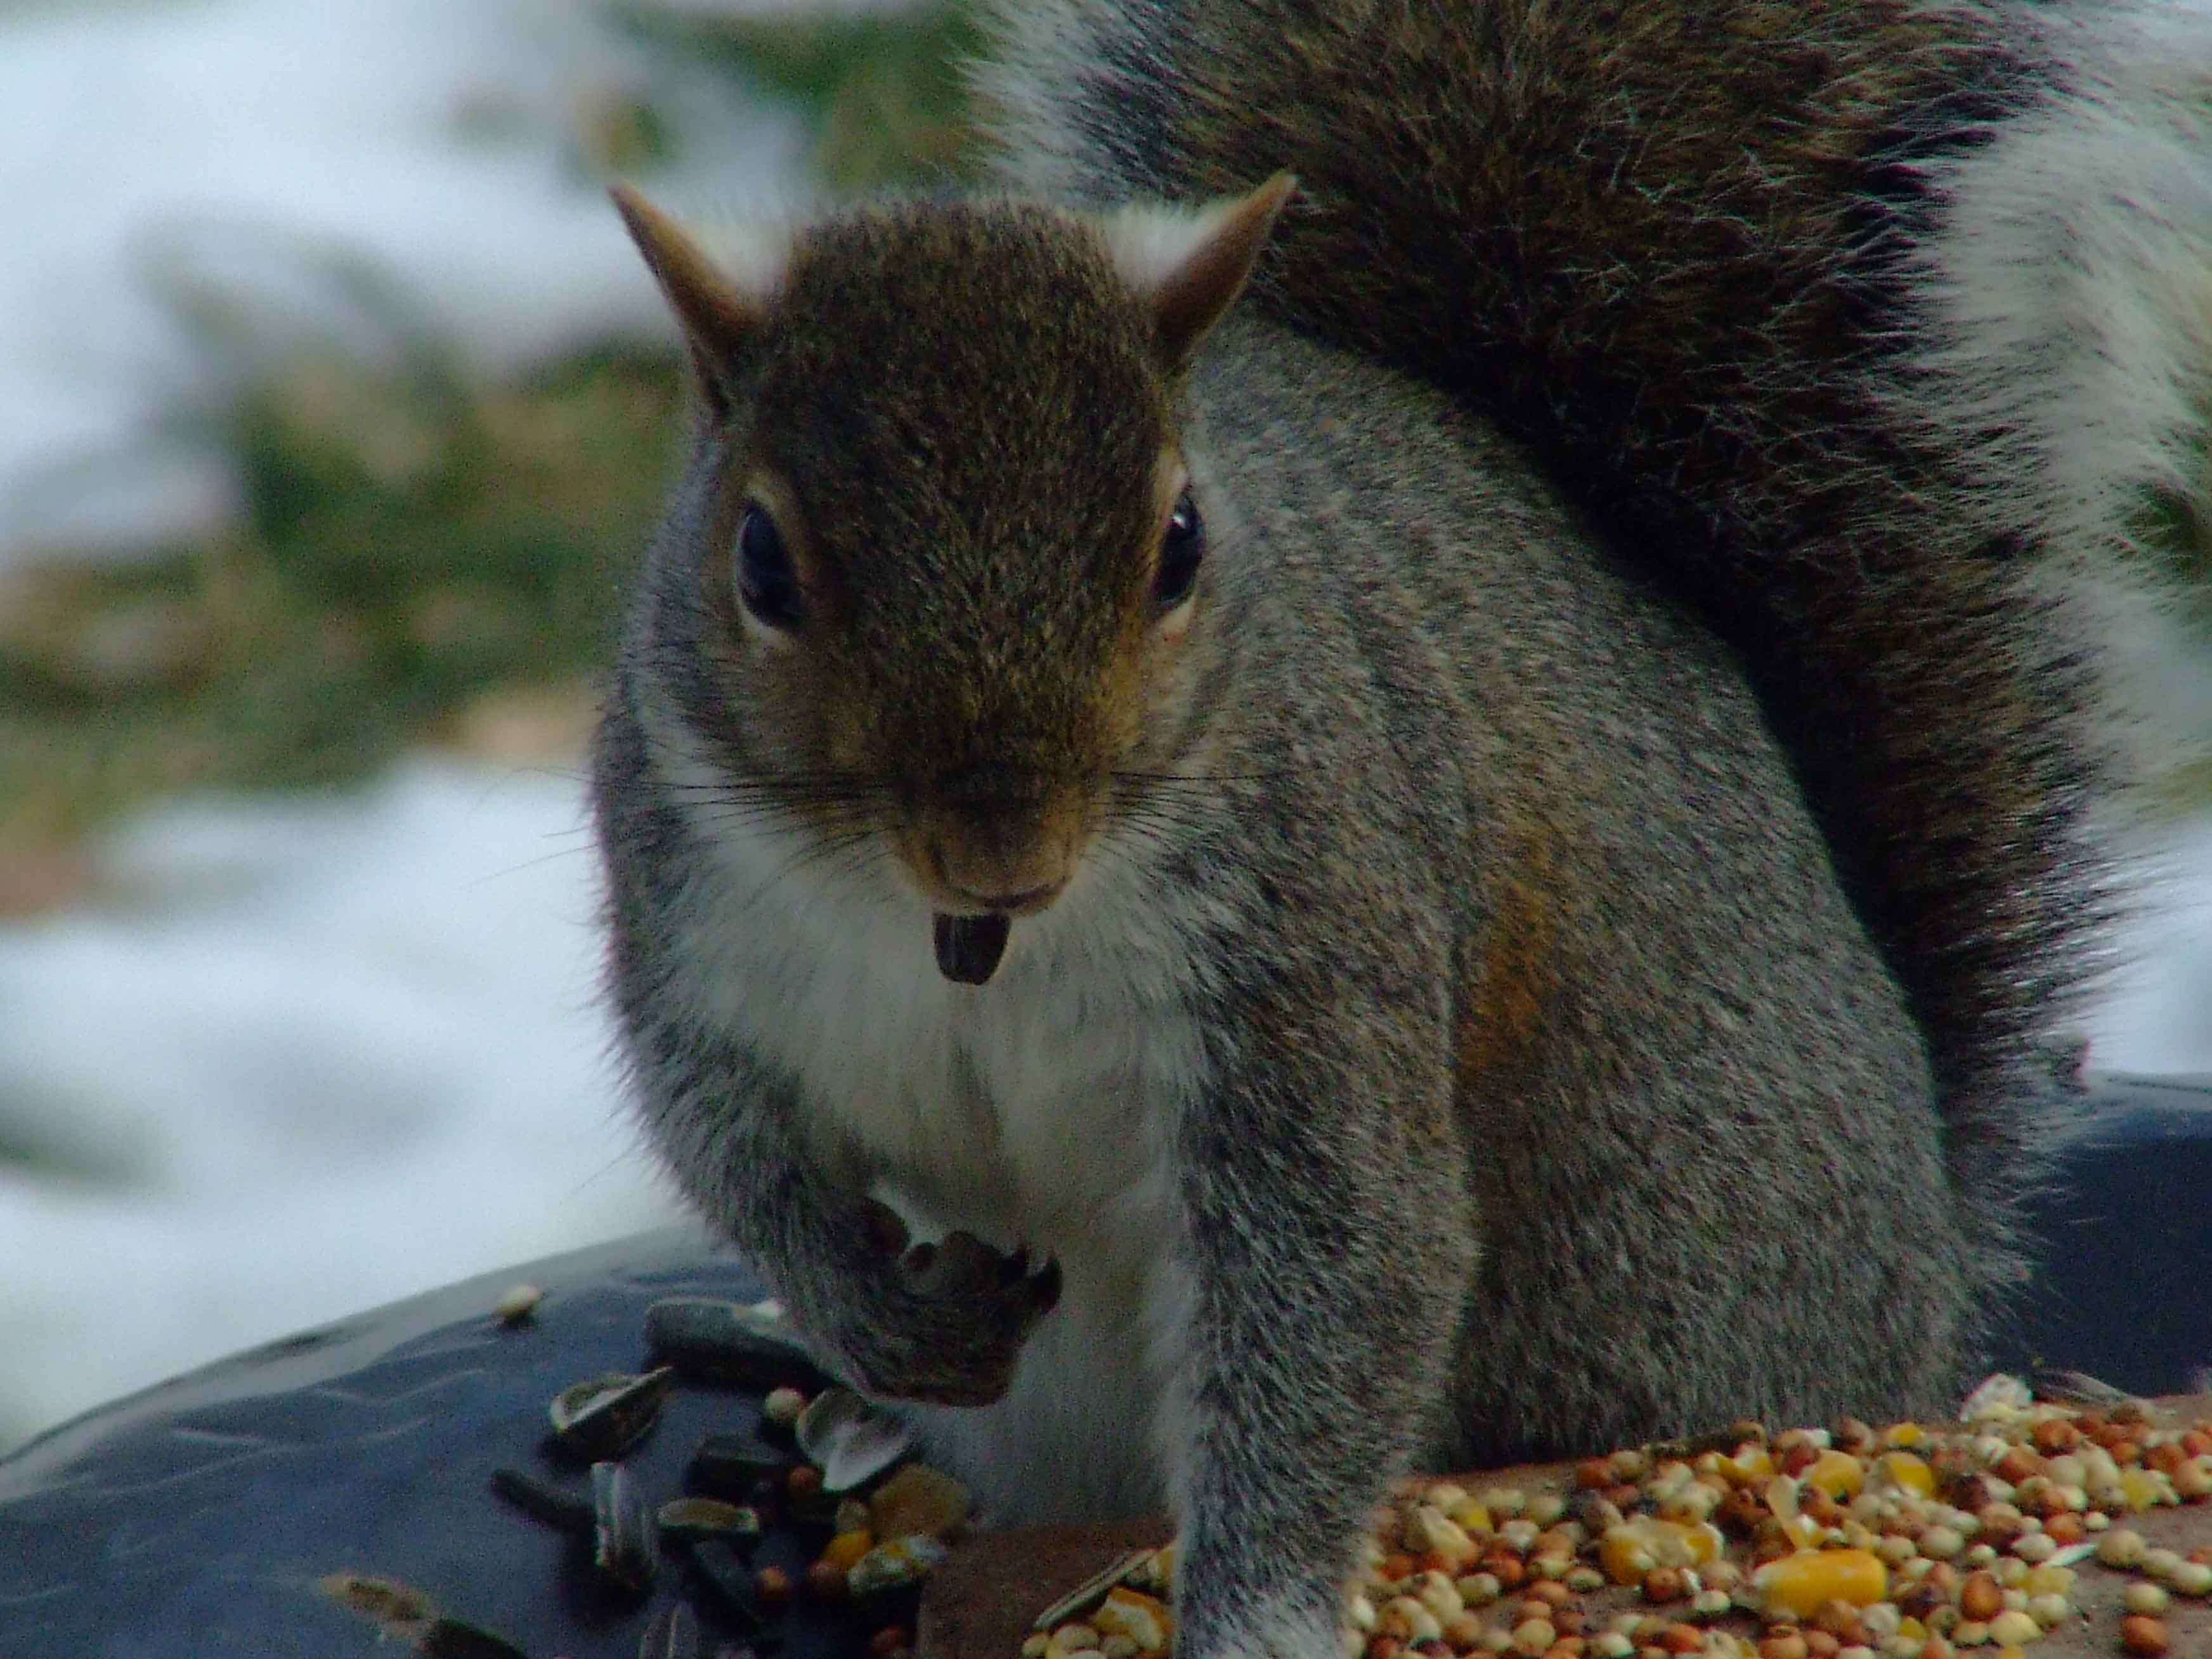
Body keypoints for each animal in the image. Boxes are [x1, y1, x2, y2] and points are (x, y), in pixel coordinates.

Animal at [592, 3, 2212, 1655]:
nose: (1004, 856)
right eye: (760, 562)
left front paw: (1259, 1618)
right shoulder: (690, 932)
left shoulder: (1314, 964)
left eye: (1180, 544)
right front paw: (877, 1310)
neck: (961, 944)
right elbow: (729, 1144)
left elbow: (1343, 1277)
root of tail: (1925, 1278)